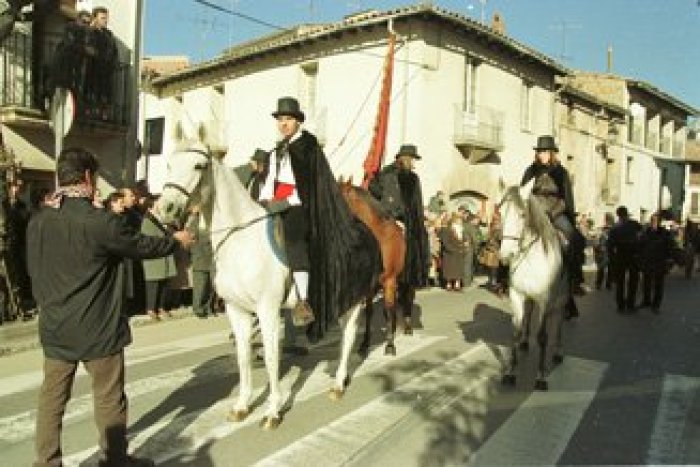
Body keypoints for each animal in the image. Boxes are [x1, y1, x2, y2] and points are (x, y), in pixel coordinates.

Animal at [157, 144, 366, 432]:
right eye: (169, 163)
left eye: (199, 166)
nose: (164, 208)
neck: (241, 239)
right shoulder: (236, 310)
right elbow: (243, 356)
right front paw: (242, 406)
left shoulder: (267, 310)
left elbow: (270, 357)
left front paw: (272, 411)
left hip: (352, 300)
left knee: (348, 337)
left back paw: (338, 384)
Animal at [340, 177, 410, 356]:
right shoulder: (369, 287)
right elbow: (370, 312)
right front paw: (365, 344)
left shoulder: (389, 280)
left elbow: (387, 309)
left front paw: (390, 345)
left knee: (406, 299)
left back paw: (407, 327)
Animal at [498, 180, 568, 392]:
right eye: (500, 212)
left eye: (522, 214)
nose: (505, 256)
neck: (530, 258)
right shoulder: (517, 295)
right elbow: (515, 330)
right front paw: (510, 373)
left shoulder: (545, 299)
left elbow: (543, 337)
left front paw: (540, 377)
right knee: (528, 315)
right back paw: (524, 342)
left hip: (562, 296)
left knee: (559, 320)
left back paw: (558, 352)